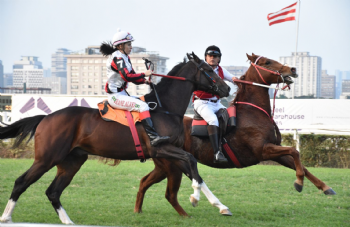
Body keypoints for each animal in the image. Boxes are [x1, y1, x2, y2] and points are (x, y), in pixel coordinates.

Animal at [0, 52, 232, 224]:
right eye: (209, 69)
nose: (227, 87)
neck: (164, 108)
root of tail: (46, 117)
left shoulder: (172, 154)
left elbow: (195, 173)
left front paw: (220, 206)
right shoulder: (160, 149)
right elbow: (192, 163)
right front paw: (195, 198)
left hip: (72, 161)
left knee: (53, 192)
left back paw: (67, 221)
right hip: (47, 158)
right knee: (22, 182)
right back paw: (7, 217)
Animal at [134, 53, 336, 216]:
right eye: (267, 62)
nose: (292, 69)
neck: (253, 112)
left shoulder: (275, 150)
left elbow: (299, 162)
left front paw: (325, 187)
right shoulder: (263, 150)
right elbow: (295, 152)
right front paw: (299, 183)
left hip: (165, 165)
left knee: (144, 181)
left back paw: (138, 210)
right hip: (172, 164)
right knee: (167, 189)